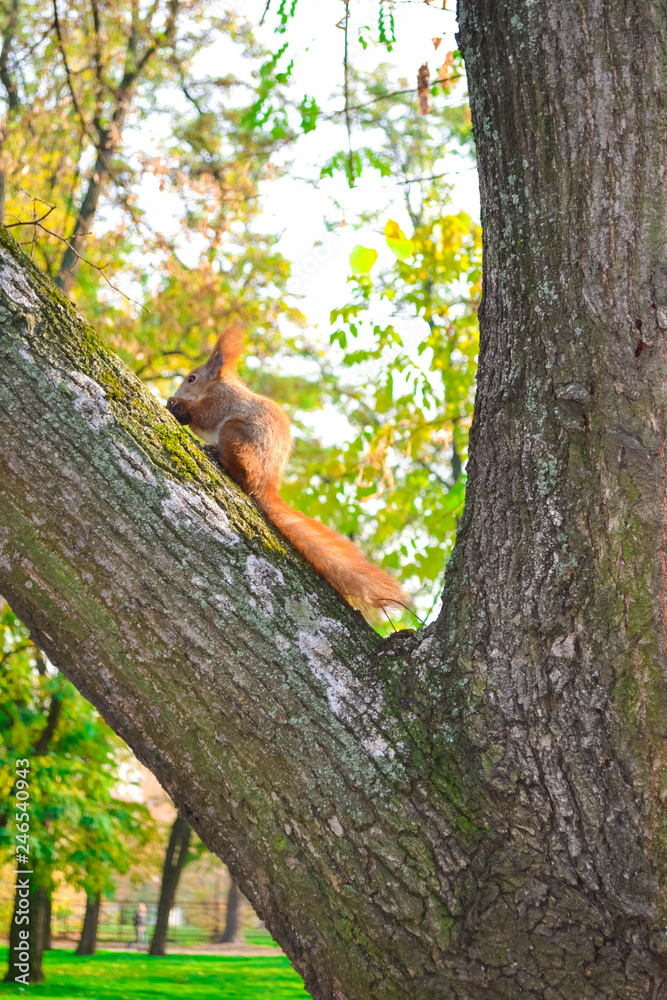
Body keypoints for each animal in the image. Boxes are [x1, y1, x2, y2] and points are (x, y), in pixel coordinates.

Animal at [166, 328, 408, 608]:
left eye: (191, 378)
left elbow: (204, 416)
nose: (179, 391)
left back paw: (218, 456)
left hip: (233, 434)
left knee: (243, 476)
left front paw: (178, 405)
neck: (216, 384)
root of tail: (266, 484)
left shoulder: (220, 401)